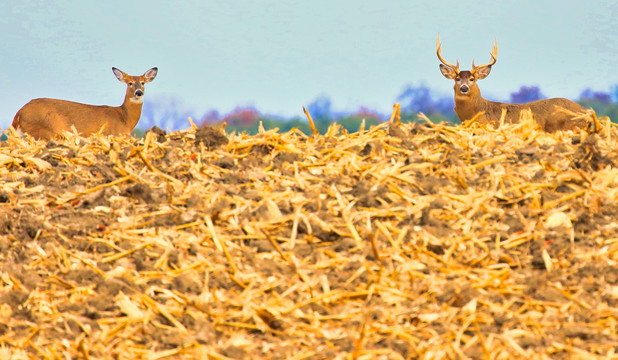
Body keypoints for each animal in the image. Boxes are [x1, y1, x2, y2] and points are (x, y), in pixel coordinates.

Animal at [12, 67, 158, 140]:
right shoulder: (113, 135)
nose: (139, 92)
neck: (125, 120)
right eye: (130, 83)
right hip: (45, 129)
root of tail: (19, 114)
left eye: (143, 83)